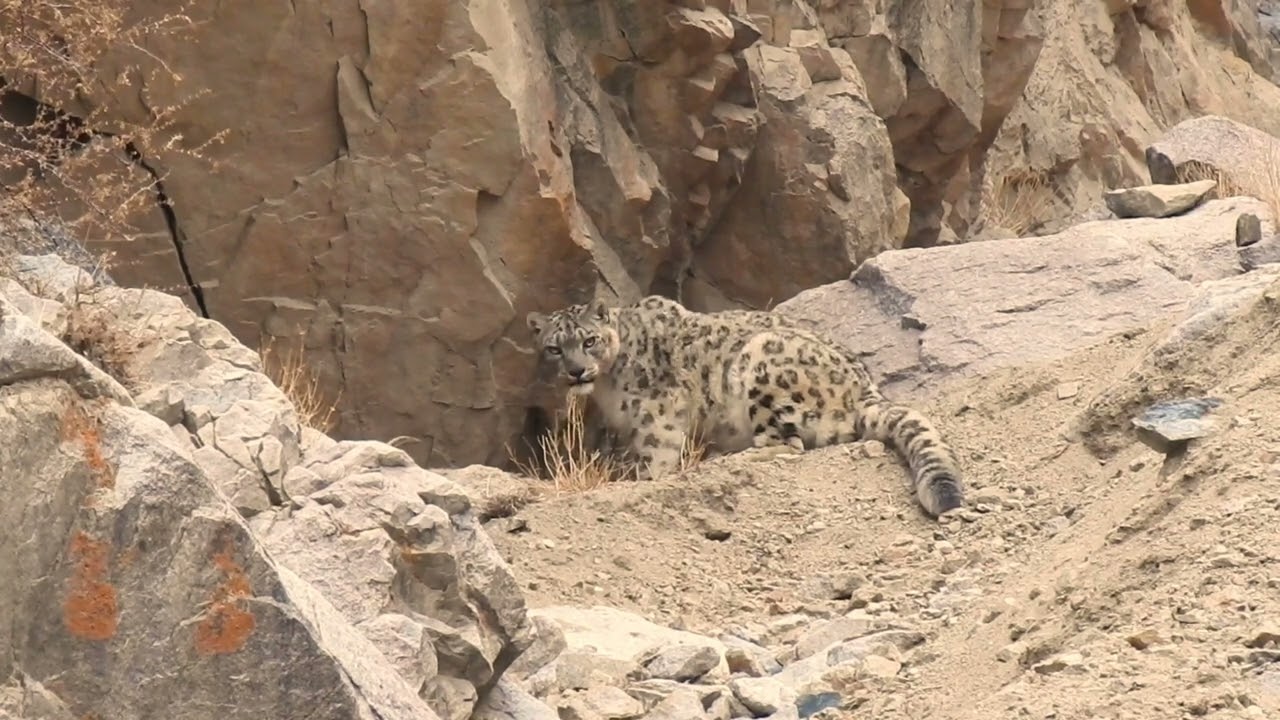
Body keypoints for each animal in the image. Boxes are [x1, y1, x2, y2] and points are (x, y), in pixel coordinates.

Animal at [526, 295, 965, 518]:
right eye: (553, 348)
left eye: (589, 340)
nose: (576, 372)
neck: (607, 384)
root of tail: (866, 388)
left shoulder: (657, 415)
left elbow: (655, 459)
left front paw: (643, 478)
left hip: (762, 368)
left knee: (787, 446)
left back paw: (728, 458)